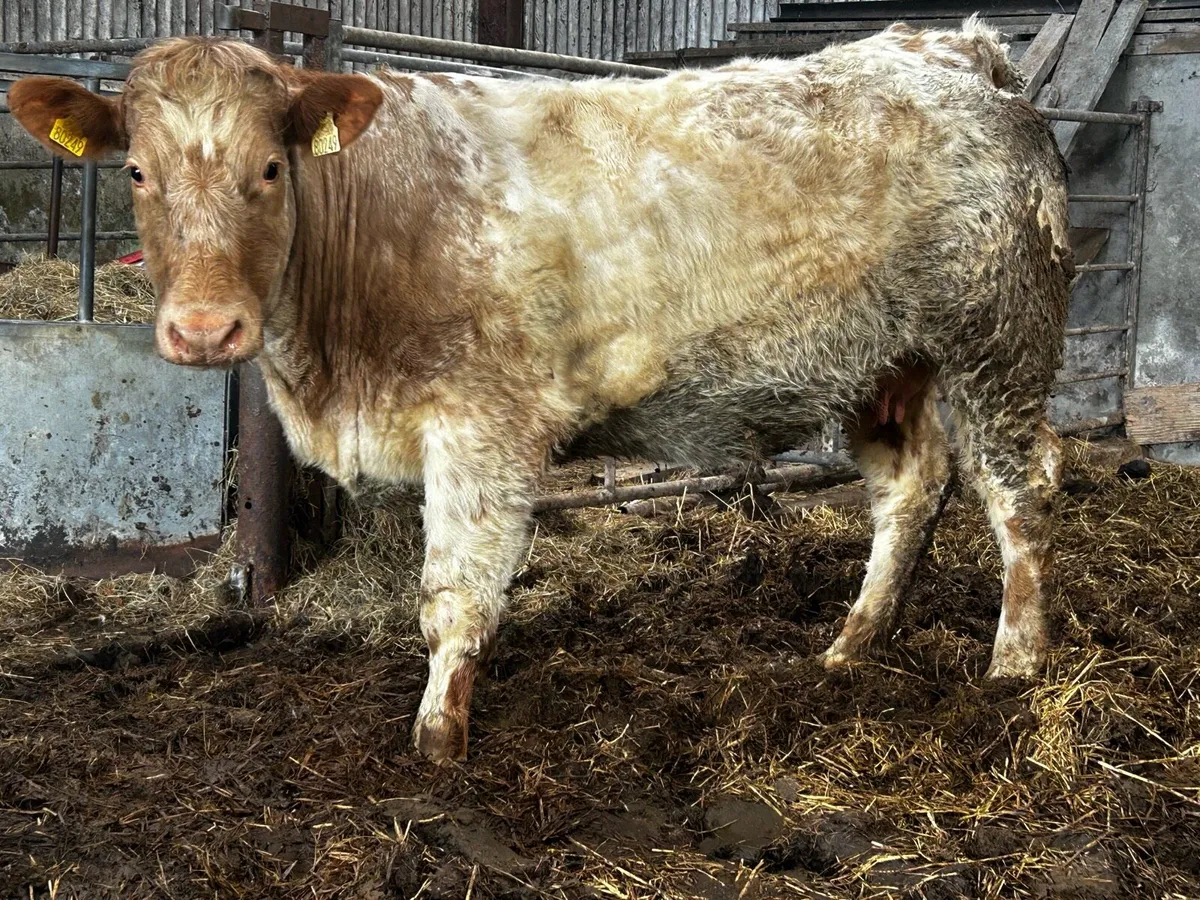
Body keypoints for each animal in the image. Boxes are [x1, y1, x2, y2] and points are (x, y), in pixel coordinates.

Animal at [9, 16, 1073, 763]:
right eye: (135, 172)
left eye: (270, 168)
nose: (202, 331)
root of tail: (955, 48)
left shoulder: (483, 426)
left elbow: (452, 599)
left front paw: (438, 742)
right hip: (883, 364)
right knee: (912, 487)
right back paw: (853, 644)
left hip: (998, 342)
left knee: (1020, 488)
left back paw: (1017, 661)